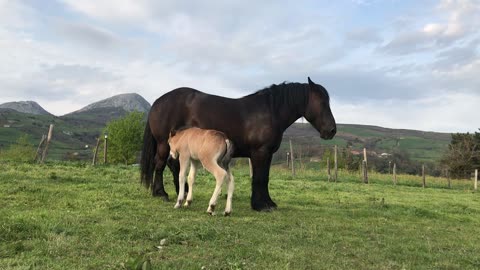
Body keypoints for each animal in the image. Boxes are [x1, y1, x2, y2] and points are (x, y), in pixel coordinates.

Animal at [141, 77, 336, 212]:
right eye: (322, 102)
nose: (332, 130)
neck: (269, 111)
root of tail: (158, 102)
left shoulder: (267, 154)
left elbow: (264, 178)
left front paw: (268, 203)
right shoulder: (260, 153)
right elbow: (259, 178)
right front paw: (260, 205)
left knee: (172, 165)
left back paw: (184, 192)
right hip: (165, 144)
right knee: (160, 164)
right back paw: (161, 193)